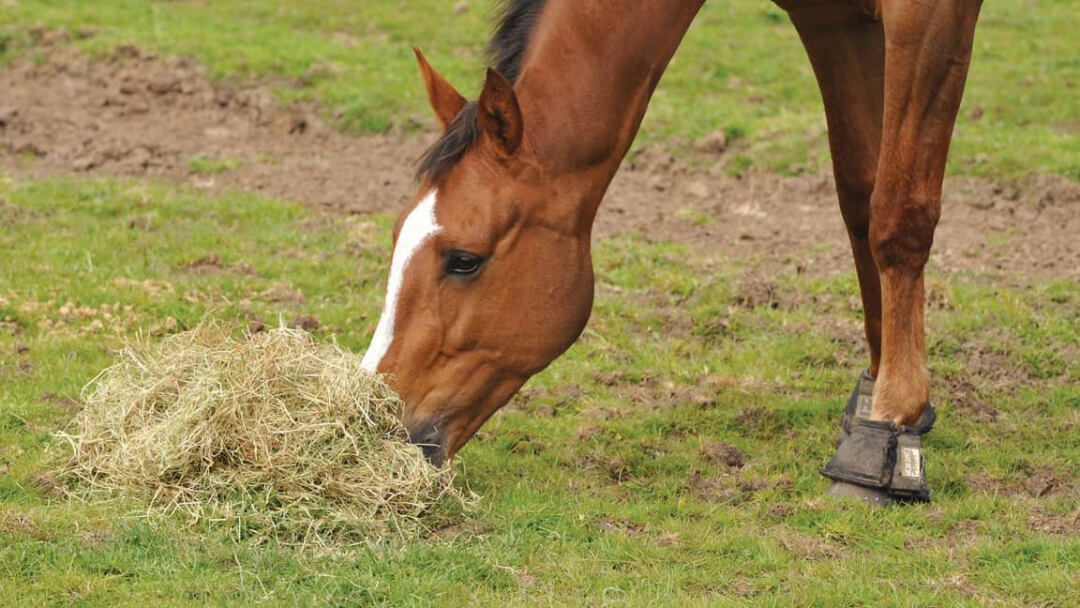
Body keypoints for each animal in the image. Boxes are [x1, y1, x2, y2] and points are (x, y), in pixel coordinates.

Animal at [358, 0, 984, 505]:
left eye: (464, 260)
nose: (379, 425)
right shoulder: (833, 21)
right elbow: (860, 195)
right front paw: (878, 400)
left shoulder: (927, 14)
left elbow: (897, 214)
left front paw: (889, 424)